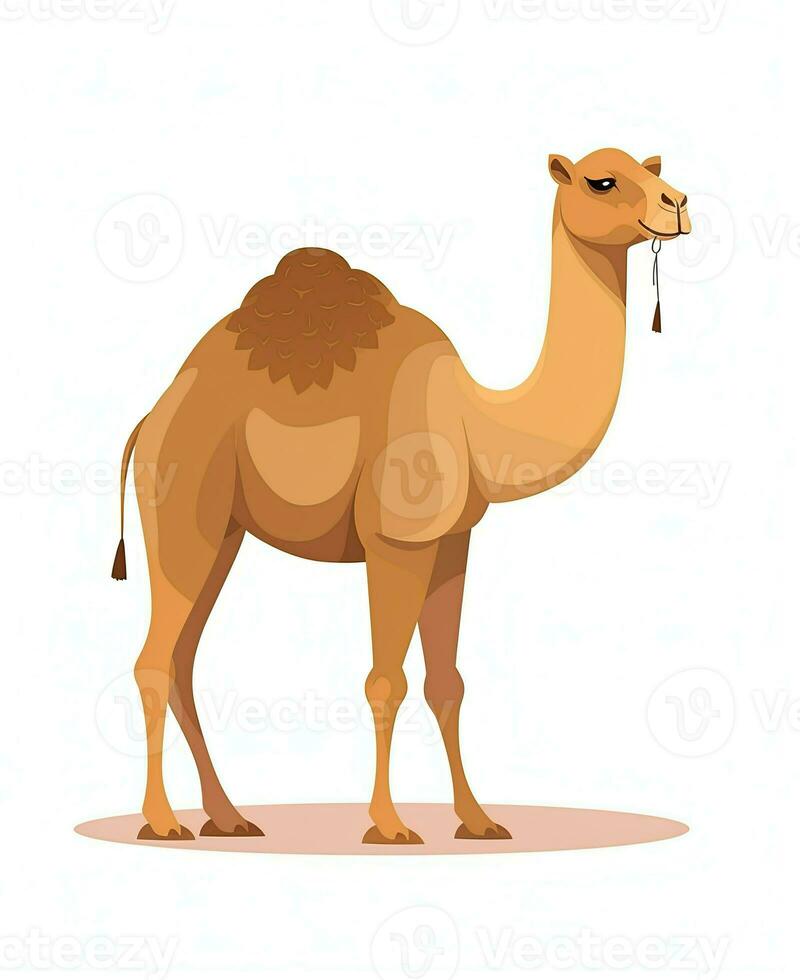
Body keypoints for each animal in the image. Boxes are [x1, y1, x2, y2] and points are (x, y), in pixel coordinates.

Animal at [113, 148, 690, 845]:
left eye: (652, 168)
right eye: (601, 181)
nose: (677, 203)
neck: (477, 420)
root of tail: (151, 418)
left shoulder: (453, 543)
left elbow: (448, 682)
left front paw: (478, 821)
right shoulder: (396, 541)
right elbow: (386, 680)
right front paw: (388, 826)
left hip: (223, 530)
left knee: (183, 658)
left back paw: (228, 818)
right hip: (181, 501)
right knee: (154, 658)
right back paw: (162, 821)